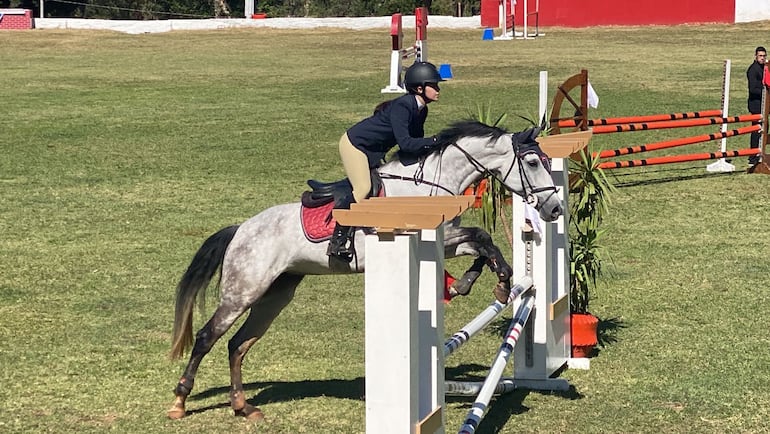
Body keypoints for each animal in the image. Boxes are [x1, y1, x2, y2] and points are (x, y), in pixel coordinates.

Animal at [166, 119, 560, 420]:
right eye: (532, 162)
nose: (554, 209)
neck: (432, 181)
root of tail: (241, 230)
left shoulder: (446, 238)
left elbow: (481, 240)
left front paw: (482, 282)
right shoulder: (433, 234)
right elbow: (479, 236)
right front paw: (482, 282)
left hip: (275, 294)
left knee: (238, 344)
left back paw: (243, 406)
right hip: (244, 290)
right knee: (207, 337)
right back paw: (179, 402)